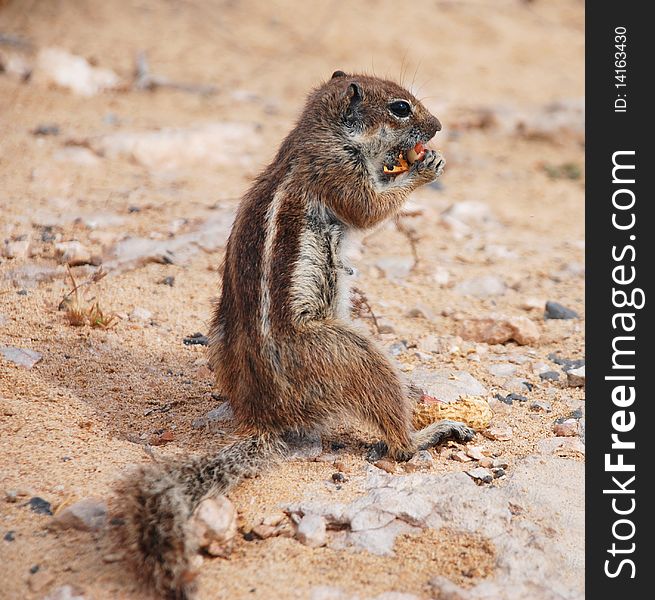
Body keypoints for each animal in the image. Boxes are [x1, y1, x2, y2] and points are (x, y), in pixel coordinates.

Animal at [120, 72, 474, 596]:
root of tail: (270, 416)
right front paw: (425, 166)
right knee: (399, 447)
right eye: (400, 107)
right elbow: (371, 208)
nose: (439, 126)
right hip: (353, 351)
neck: (321, 134)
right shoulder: (339, 173)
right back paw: (431, 433)